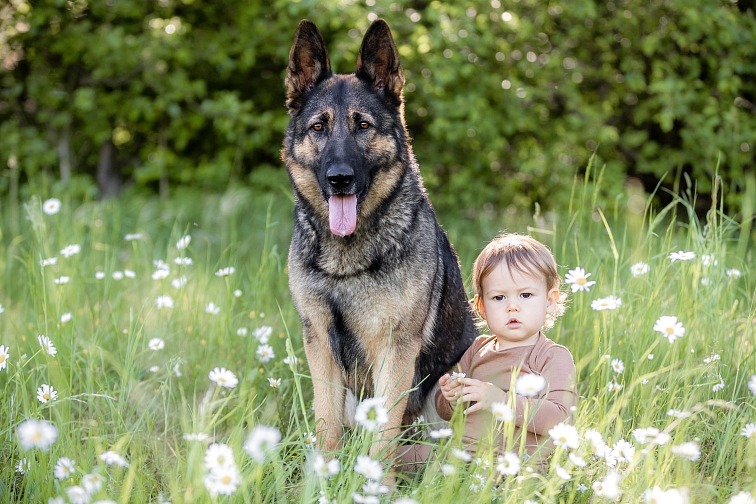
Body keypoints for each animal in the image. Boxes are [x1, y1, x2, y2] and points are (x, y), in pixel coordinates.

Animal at [280, 19, 476, 460]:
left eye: (363, 126)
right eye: (318, 127)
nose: (339, 178)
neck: (346, 259)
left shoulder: (396, 351)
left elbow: (383, 435)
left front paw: (374, 475)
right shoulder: (320, 345)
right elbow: (327, 424)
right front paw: (324, 471)